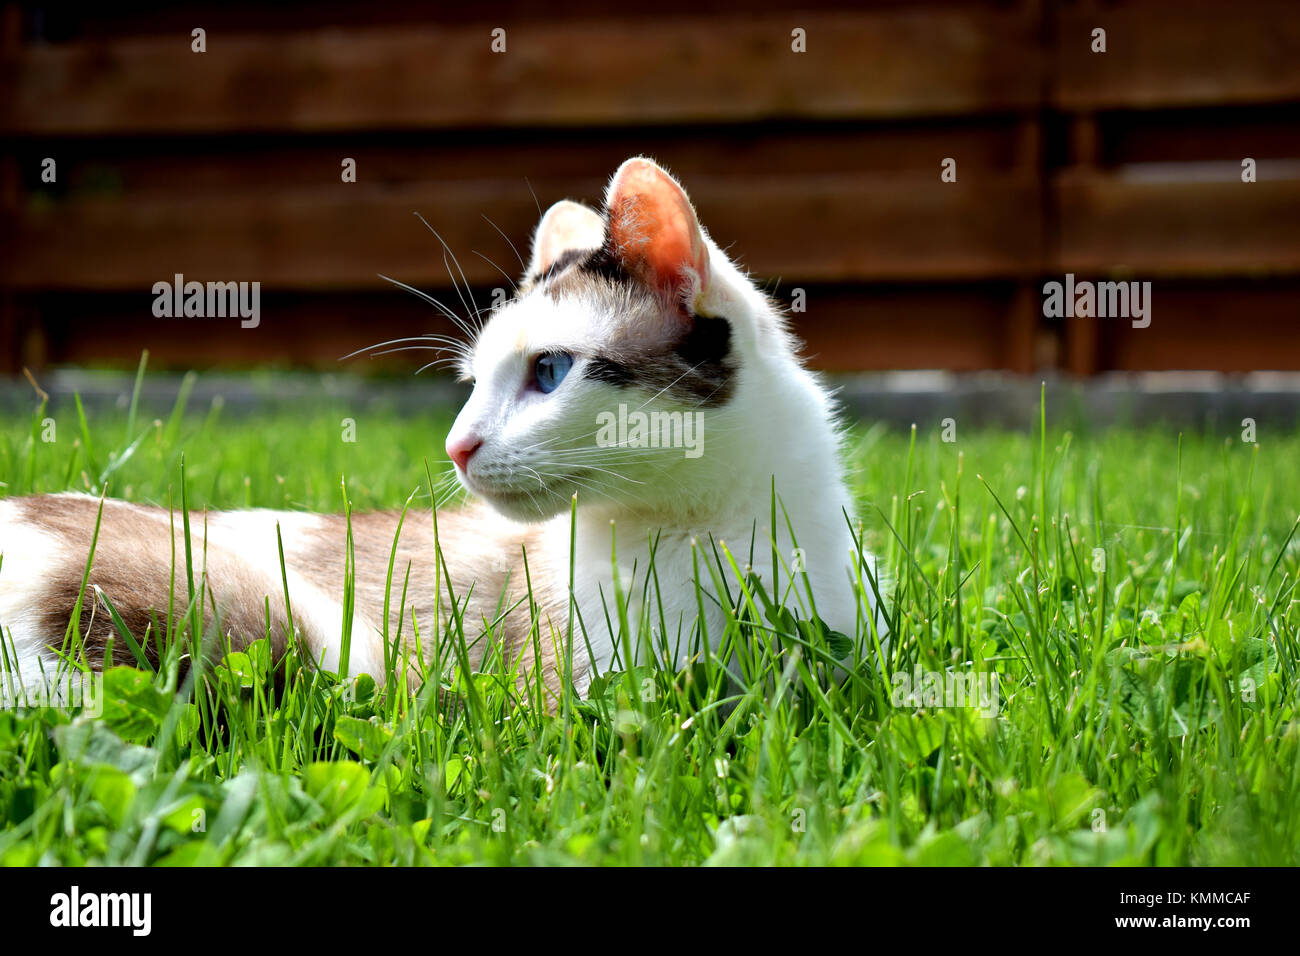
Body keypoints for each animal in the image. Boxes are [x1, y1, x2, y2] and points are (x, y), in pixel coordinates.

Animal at [0, 157, 883, 702]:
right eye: (472, 383)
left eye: (548, 371)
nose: (457, 447)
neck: (725, 536)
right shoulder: (588, 692)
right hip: (304, 641)